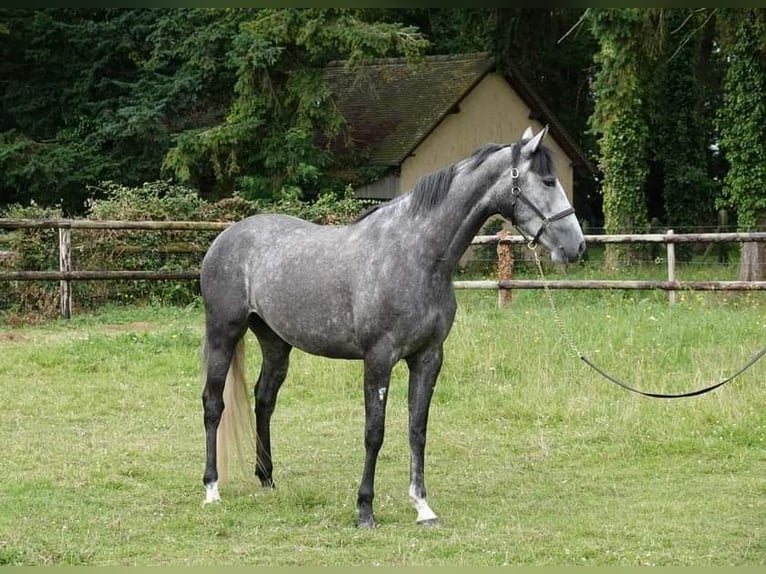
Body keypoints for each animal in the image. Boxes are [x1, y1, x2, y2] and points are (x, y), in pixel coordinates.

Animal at [201, 127, 584, 532]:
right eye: (548, 181)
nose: (576, 246)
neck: (415, 254)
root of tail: (226, 238)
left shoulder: (428, 358)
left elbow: (417, 429)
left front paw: (423, 507)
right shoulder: (379, 359)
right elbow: (375, 432)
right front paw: (365, 510)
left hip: (275, 342)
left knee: (264, 400)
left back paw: (267, 478)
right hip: (223, 333)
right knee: (213, 403)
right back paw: (211, 489)